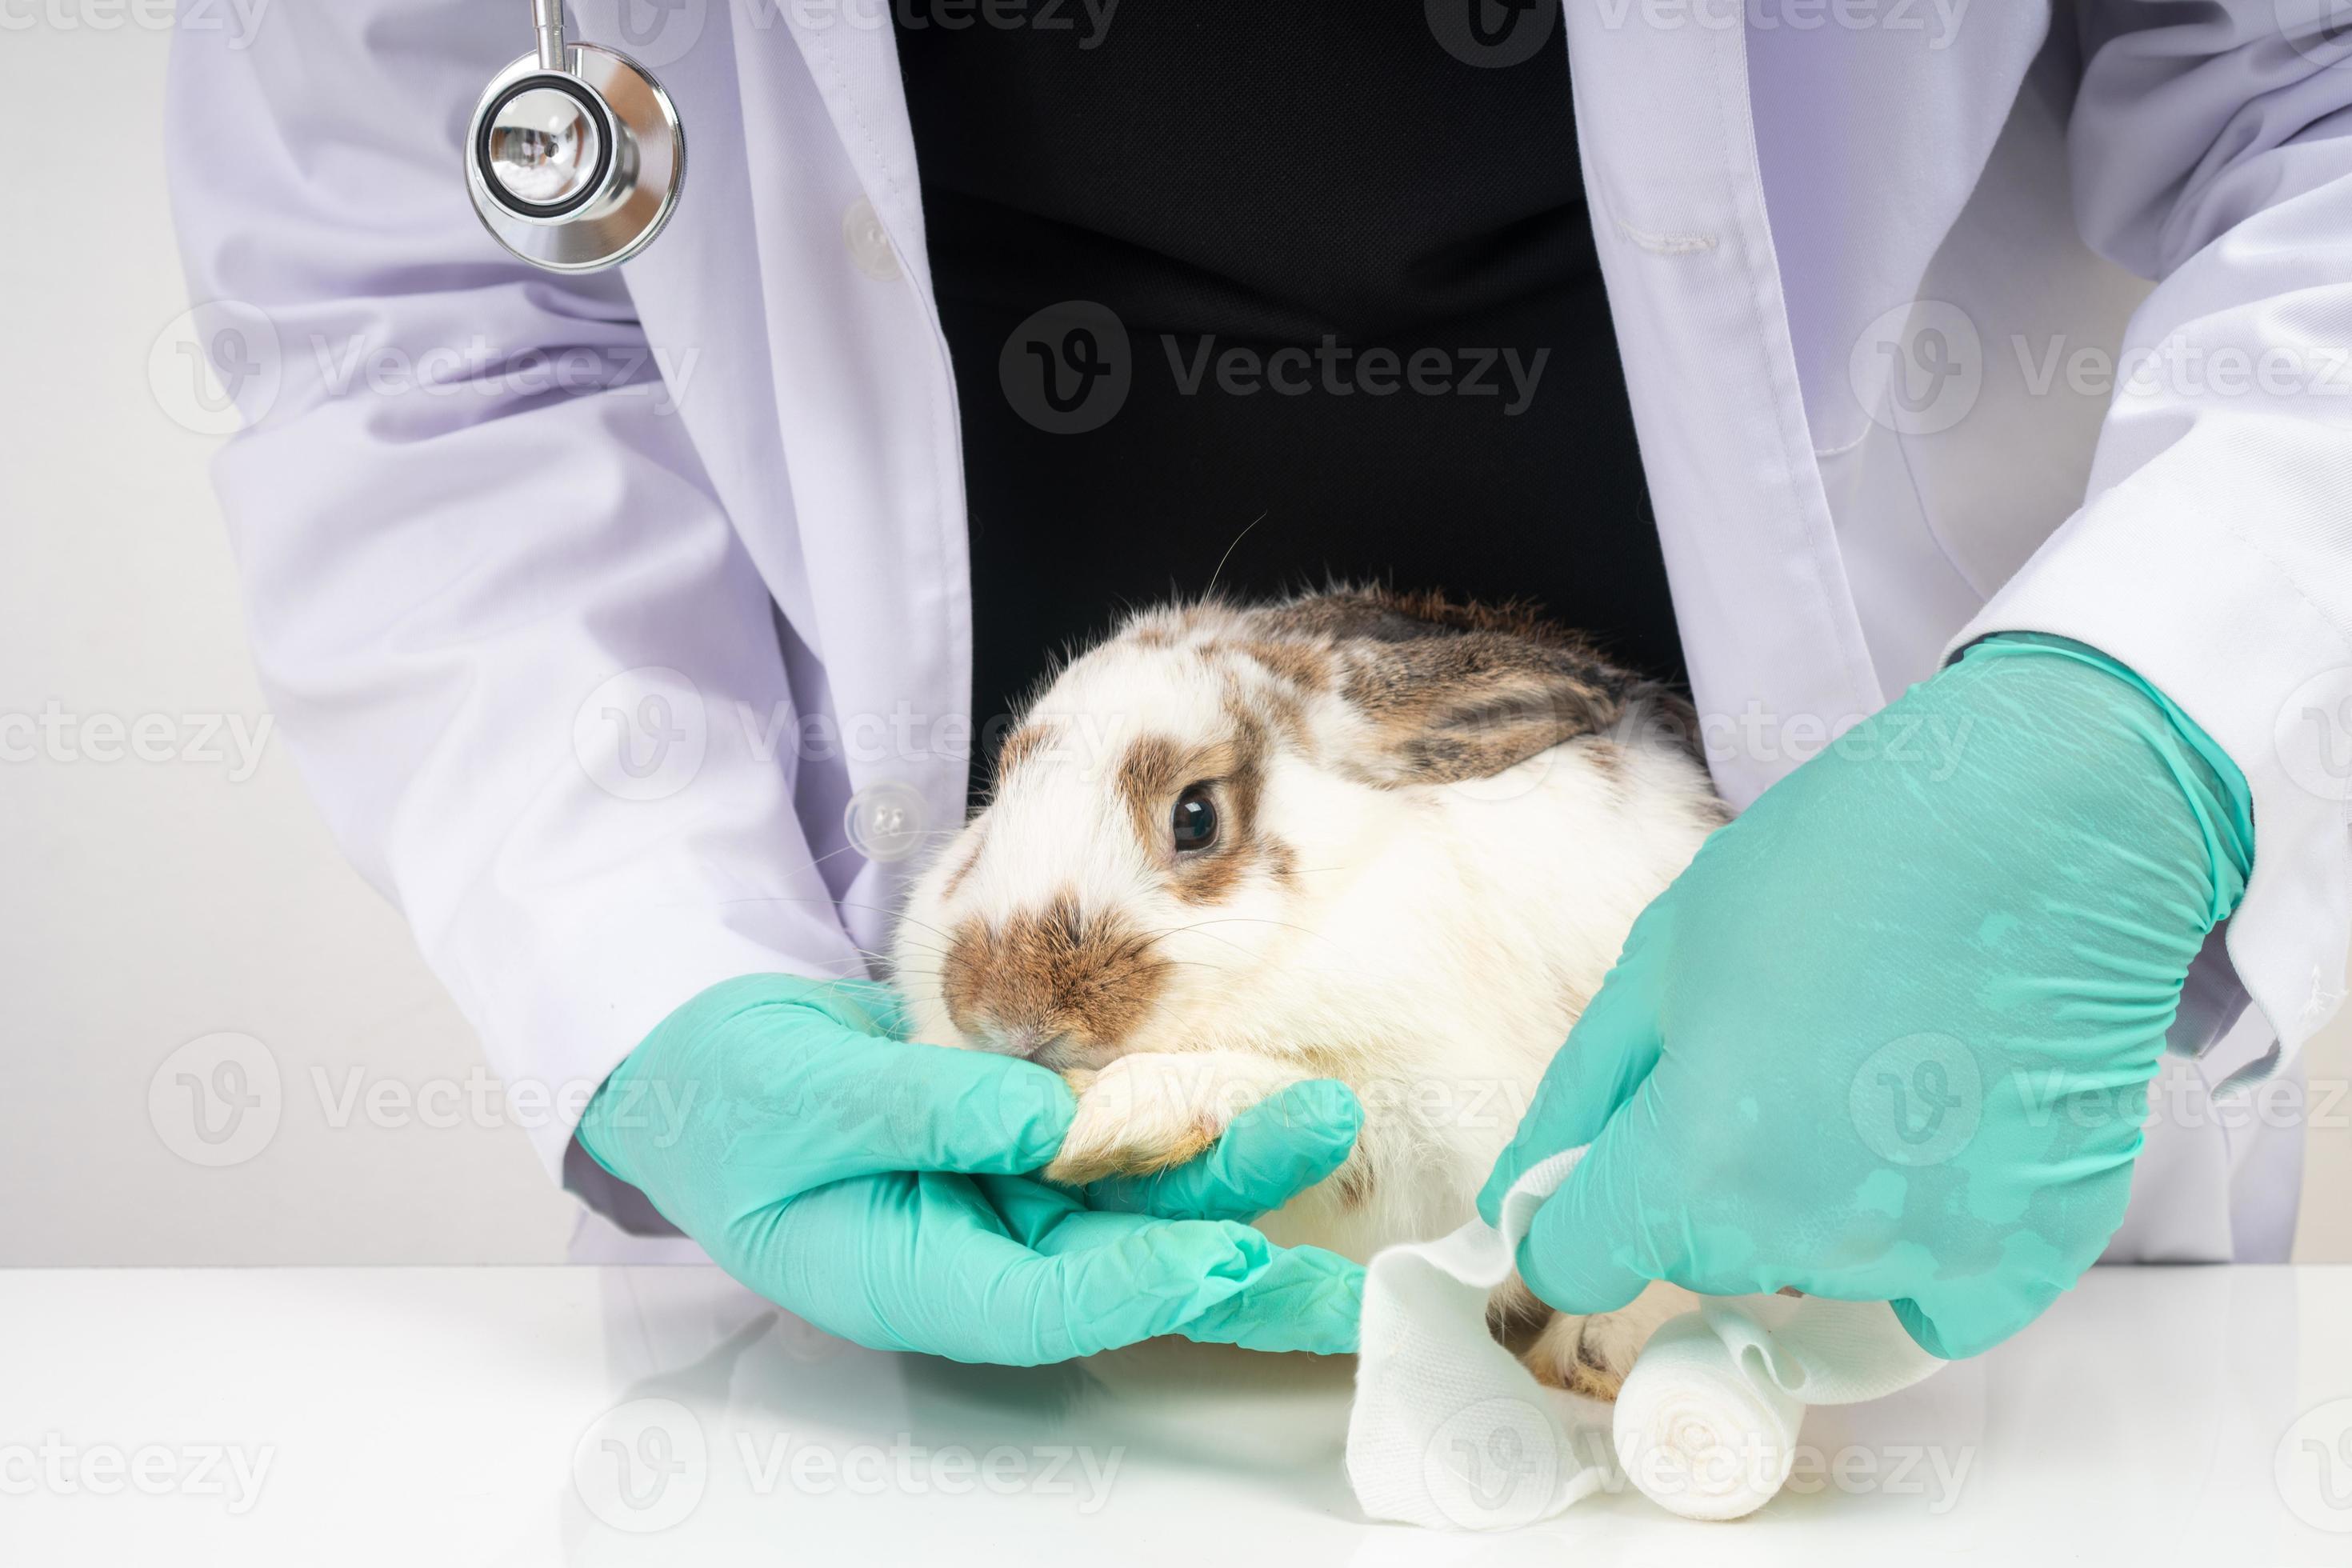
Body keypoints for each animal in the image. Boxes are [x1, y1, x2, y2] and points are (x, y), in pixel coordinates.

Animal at [890, 586, 1729, 1399]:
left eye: (1196, 817)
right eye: (998, 795)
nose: (1005, 1013)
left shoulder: (1450, 1147)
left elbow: (1310, 1101)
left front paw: (1122, 1117)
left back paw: (1594, 1354)